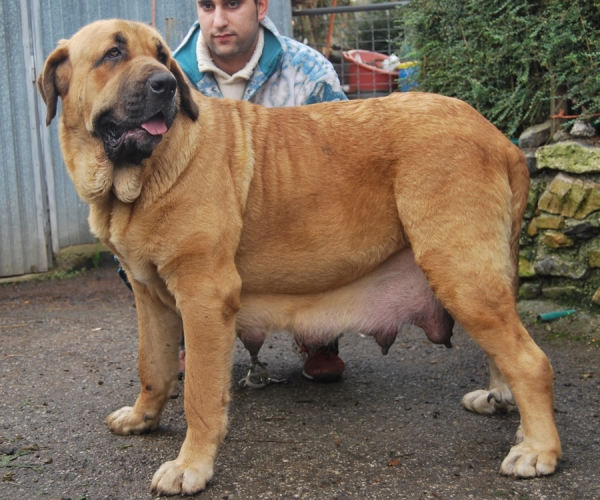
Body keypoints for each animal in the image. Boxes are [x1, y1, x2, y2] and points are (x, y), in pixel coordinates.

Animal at [38, 19, 564, 496]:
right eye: (112, 54)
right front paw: (142, 418)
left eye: (163, 57)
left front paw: (191, 467)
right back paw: (508, 410)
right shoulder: (149, 295)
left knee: (531, 361)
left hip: (460, 273)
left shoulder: (204, 298)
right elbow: (154, 366)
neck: (139, 178)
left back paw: (538, 450)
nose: (165, 84)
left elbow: (200, 397)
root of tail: (498, 138)